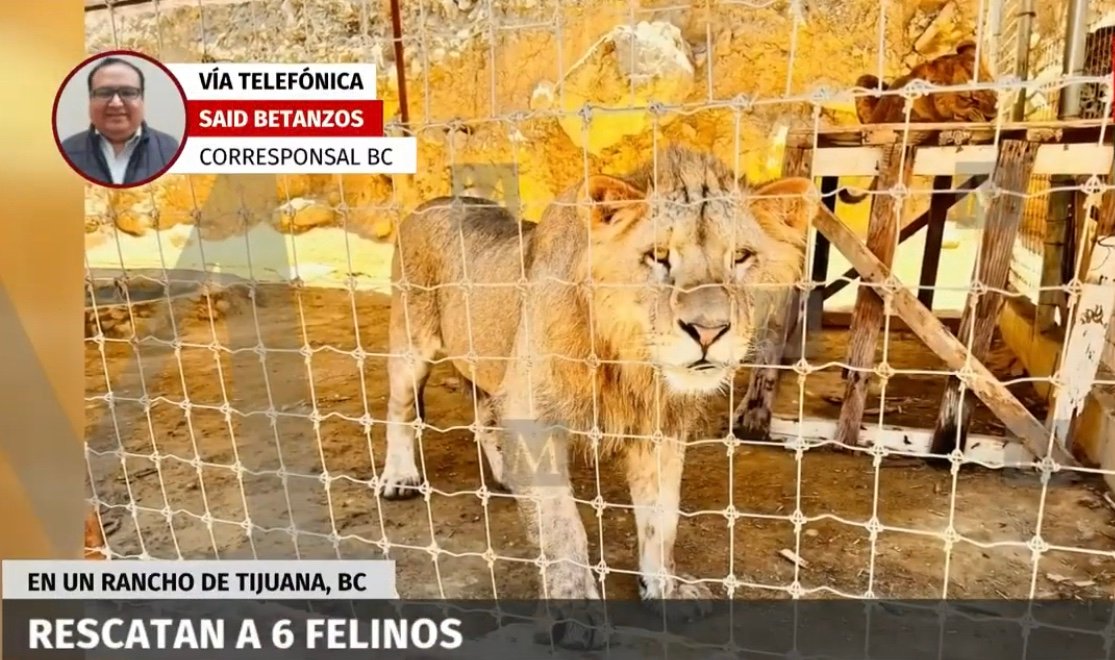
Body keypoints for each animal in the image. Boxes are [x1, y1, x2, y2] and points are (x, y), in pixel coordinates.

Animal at [379, 146, 816, 651]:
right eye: (658, 257)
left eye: (741, 257)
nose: (708, 330)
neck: (629, 360)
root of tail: (430, 202)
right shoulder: (533, 411)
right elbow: (561, 524)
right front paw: (577, 615)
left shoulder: (660, 429)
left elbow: (662, 518)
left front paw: (666, 588)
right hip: (411, 344)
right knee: (399, 410)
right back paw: (399, 477)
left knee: (484, 414)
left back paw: (507, 475)